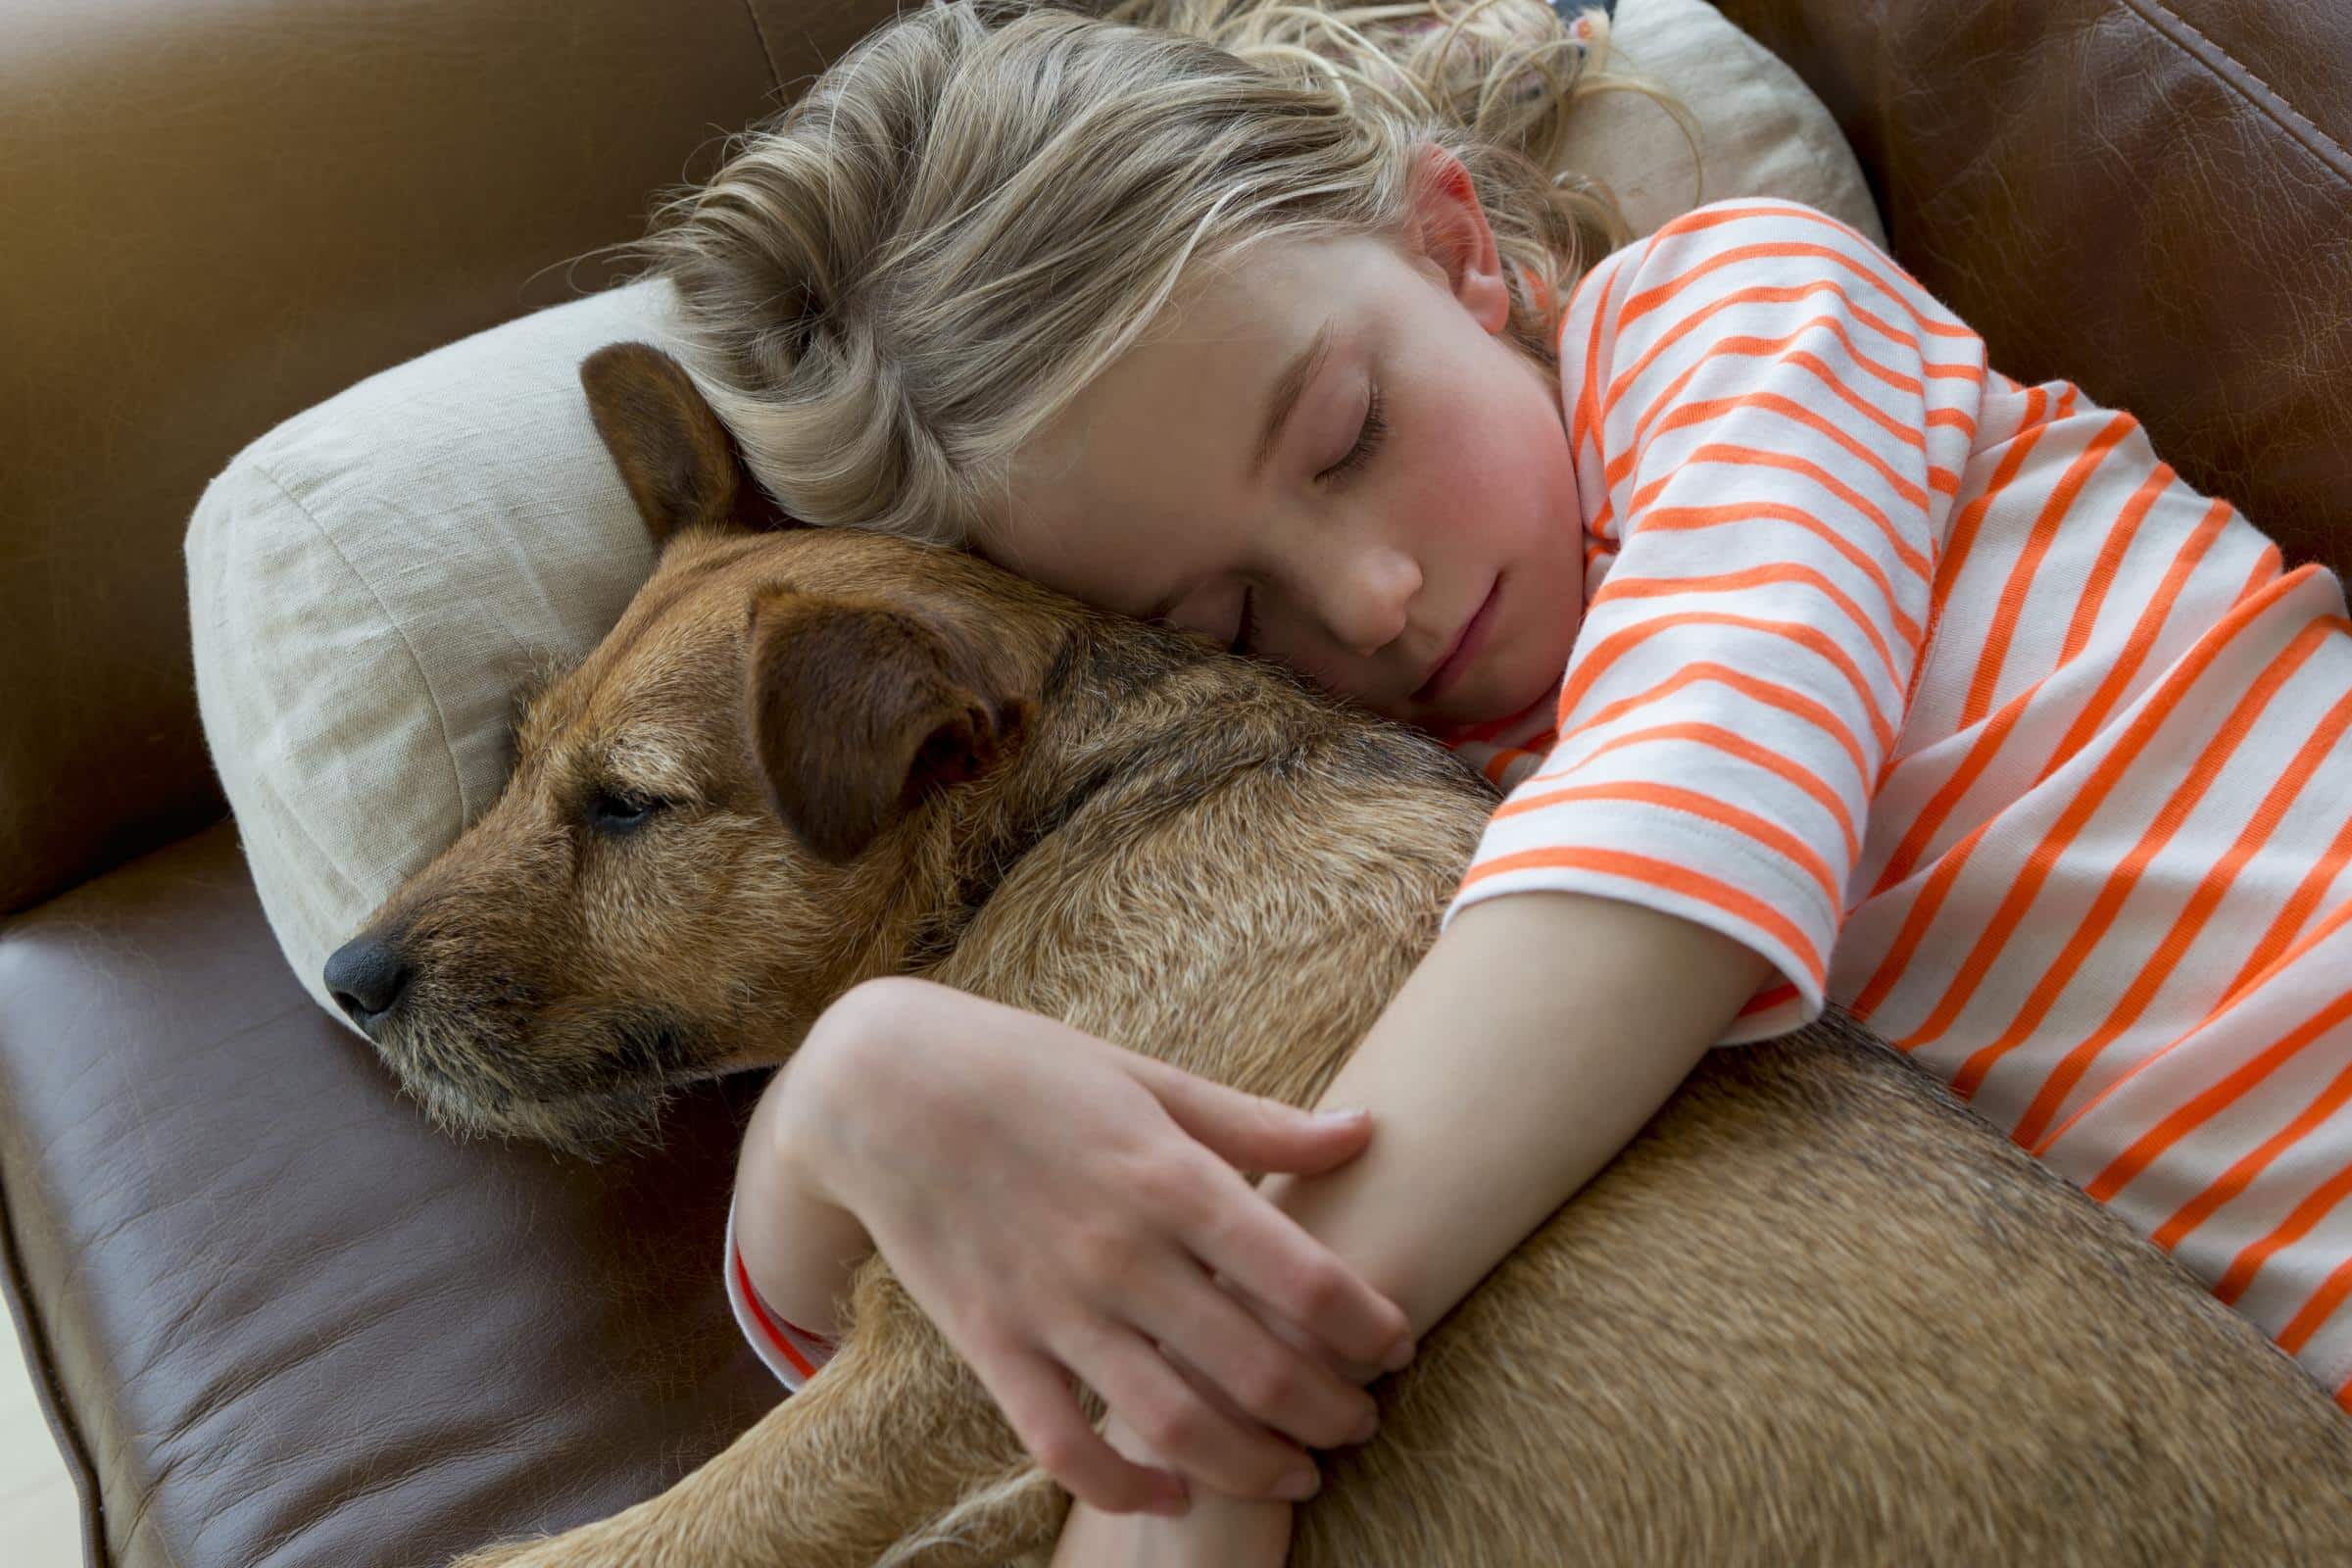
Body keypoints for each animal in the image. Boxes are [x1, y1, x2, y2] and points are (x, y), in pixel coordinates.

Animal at [326, 340, 2352, 1560]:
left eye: (629, 808)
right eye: (520, 755)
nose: (349, 984)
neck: (1072, 811)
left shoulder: (947, 1374)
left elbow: (618, 1539)